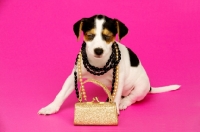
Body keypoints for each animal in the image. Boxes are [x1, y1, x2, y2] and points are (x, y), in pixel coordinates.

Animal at [37, 14, 180, 115]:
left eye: (107, 36)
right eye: (90, 35)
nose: (98, 50)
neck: (98, 63)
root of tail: (149, 87)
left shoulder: (118, 79)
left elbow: (115, 96)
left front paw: (114, 109)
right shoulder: (74, 76)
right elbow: (61, 94)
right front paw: (51, 107)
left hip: (141, 87)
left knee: (131, 97)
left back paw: (123, 102)